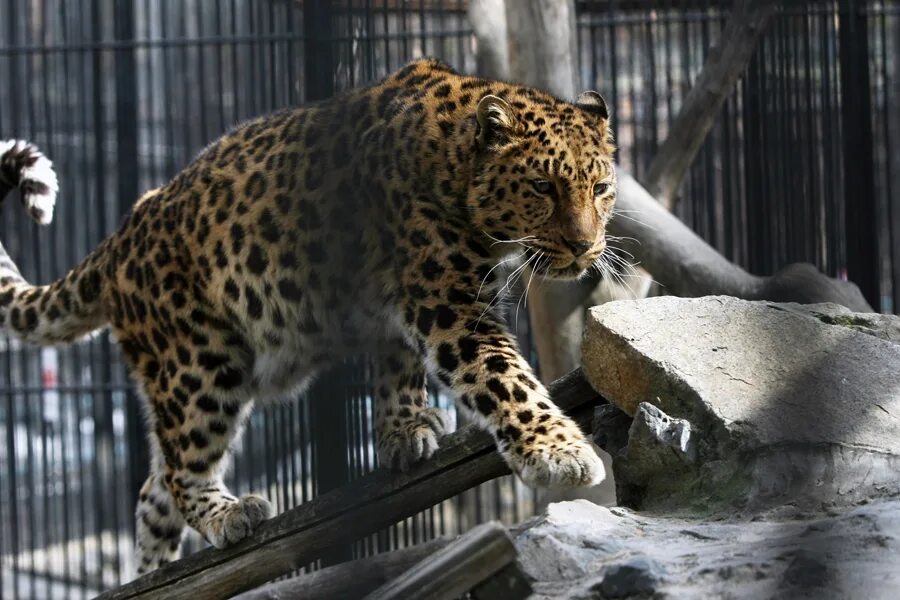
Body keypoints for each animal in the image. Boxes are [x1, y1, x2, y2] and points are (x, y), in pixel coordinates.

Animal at [0, 58, 616, 576]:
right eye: (542, 187)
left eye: (602, 188)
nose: (585, 246)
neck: (455, 165)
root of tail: (121, 234)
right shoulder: (449, 305)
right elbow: (503, 377)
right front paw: (559, 451)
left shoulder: (402, 304)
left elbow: (398, 367)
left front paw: (404, 431)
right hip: (198, 366)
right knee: (177, 473)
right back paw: (228, 515)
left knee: (153, 491)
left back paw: (154, 573)